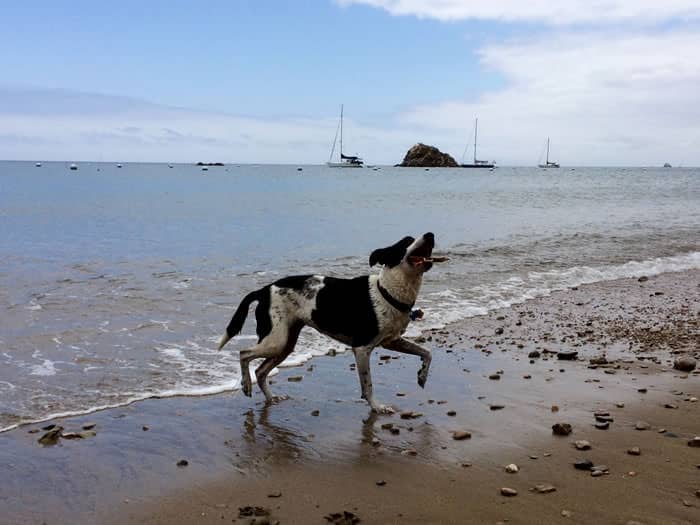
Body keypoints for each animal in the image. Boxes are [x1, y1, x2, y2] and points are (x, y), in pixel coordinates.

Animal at [219, 231, 438, 412]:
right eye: (407, 241)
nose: (430, 234)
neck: (387, 291)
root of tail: (264, 290)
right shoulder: (362, 348)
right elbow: (368, 385)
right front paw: (377, 407)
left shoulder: (392, 341)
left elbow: (427, 353)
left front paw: (422, 375)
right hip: (276, 340)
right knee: (244, 354)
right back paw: (246, 385)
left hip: (285, 344)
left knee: (260, 370)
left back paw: (271, 398)